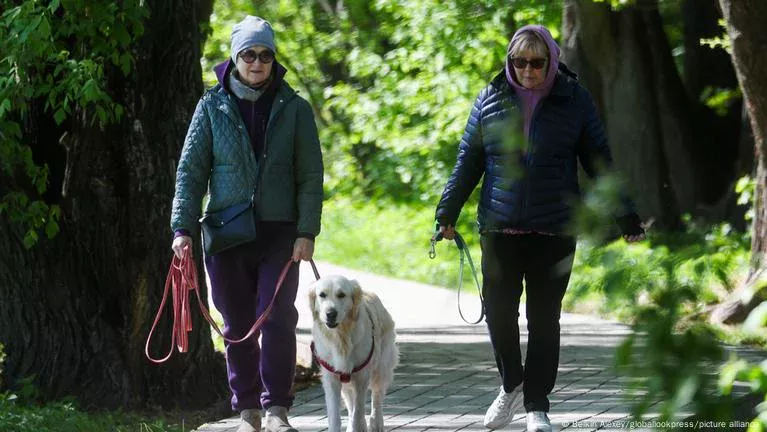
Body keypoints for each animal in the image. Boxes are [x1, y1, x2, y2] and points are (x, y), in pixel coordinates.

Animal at [308, 276, 400, 432]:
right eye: (322, 295)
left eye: (341, 295)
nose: (330, 314)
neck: (341, 337)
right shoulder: (332, 378)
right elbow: (336, 414)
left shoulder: (361, 378)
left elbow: (359, 410)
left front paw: (358, 425)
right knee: (351, 403)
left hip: (382, 367)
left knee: (377, 396)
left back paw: (376, 423)